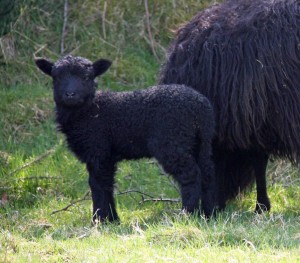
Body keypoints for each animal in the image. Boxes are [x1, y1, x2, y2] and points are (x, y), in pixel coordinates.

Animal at [35, 55, 216, 223]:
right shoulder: (106, 156)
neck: (90, 111)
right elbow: (107, 185)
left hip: (173, 142)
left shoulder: (98, 150)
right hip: (199, 142)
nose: (70, 94)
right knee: (207, 173)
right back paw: (209, 214)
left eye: (87, 77)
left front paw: (99, 220)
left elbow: (97, 184)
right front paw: (112, 220)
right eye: (56, 77)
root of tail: (201, 107)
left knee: (191, 175)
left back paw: (187, 214)